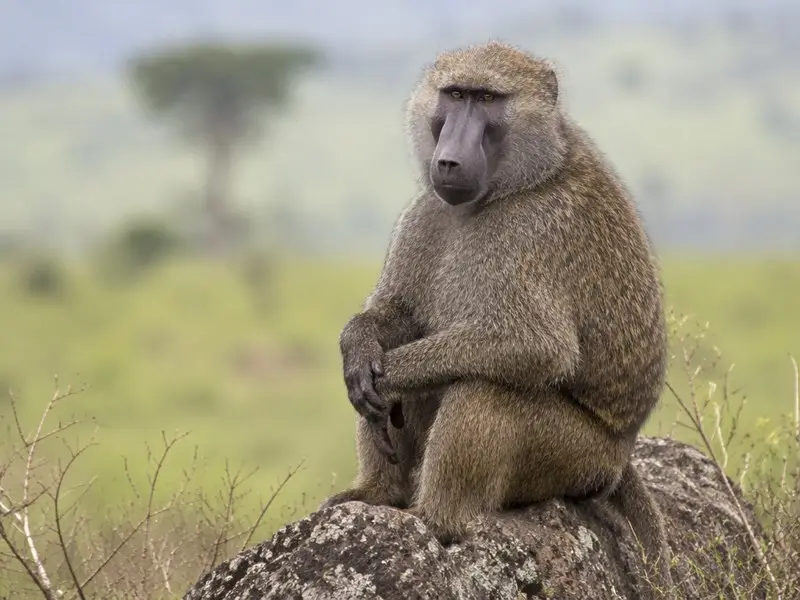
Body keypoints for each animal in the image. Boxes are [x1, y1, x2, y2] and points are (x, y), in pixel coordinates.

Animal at [320, 41, 674, 595]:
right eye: (456, 95)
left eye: (487, 99)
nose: (448, 160)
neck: (516, 182)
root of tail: (620, 457)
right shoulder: (426, 213)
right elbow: (396, 317)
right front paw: (358, 349)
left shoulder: (534, 232)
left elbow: (534, 347)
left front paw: (390, 374)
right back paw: (379, 495)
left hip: (576, 458)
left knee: (485, 388)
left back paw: (436, 520)